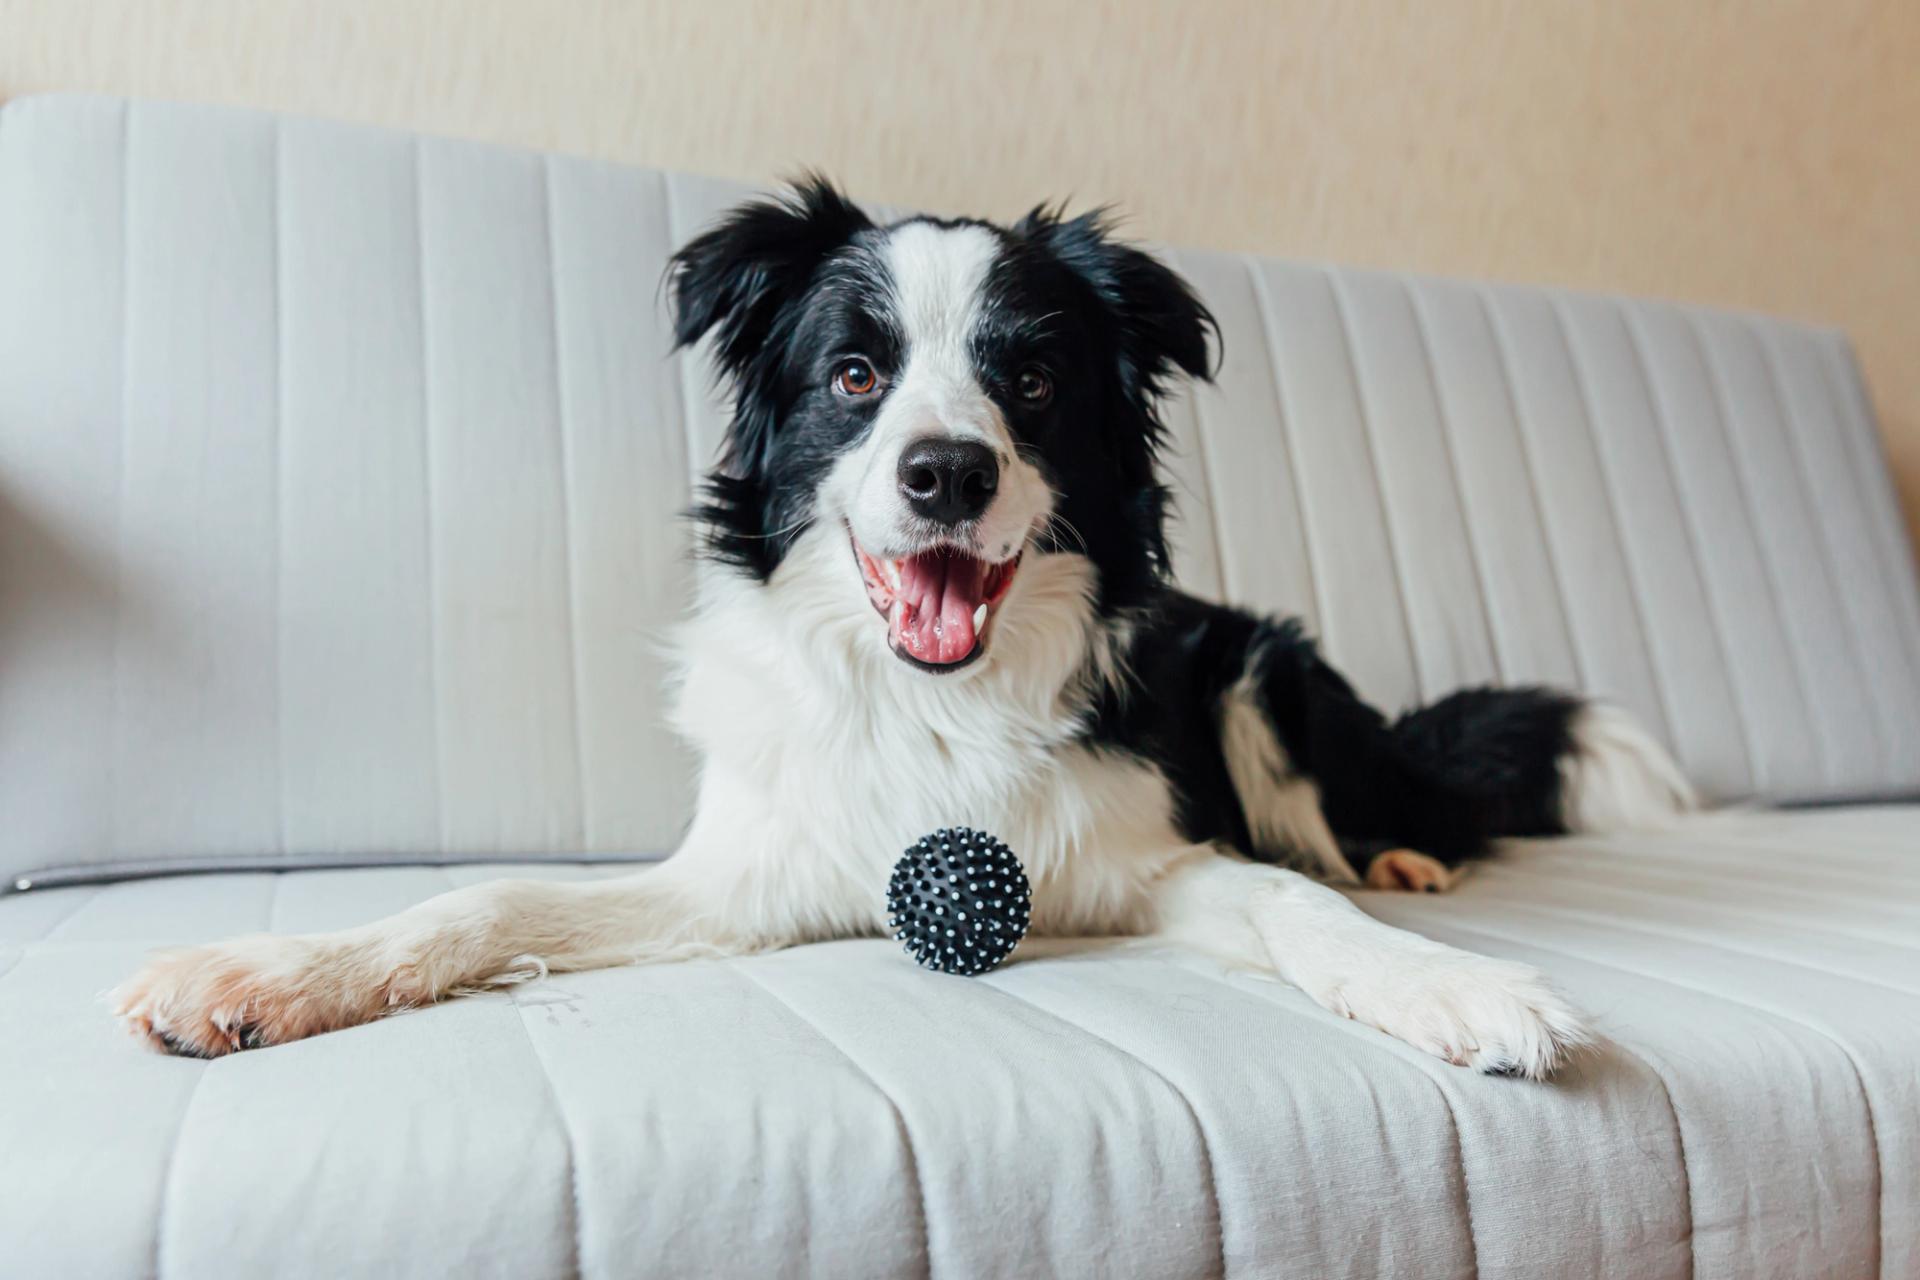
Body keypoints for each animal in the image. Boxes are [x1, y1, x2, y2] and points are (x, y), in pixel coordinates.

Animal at [112, 180, 1689, 1082]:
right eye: (856, 375)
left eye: (1032, 380)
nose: (946, 474)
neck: (936, 697)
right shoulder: (753, 873)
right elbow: (485, 904)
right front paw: (259, 976)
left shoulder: (1153, 857)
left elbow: (1299, 908)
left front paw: (1459, 987)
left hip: (1262, 668)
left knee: (1348, 826)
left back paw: (1406, 858)